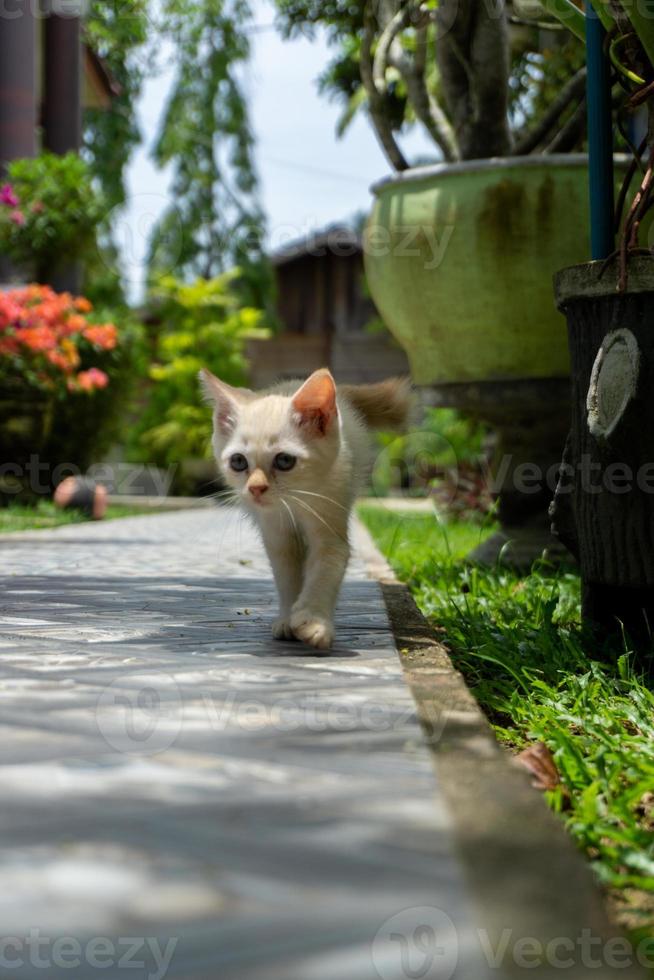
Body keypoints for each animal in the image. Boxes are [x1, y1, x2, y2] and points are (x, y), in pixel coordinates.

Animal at [200, 368, 410, 652]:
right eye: (238, 461)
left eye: (284, 460)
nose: (255, 488)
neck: (295, 502)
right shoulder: (276, 534)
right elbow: (287, 574)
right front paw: (288, 619)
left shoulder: (330, 514)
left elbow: (325, 569)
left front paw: (314, 621)